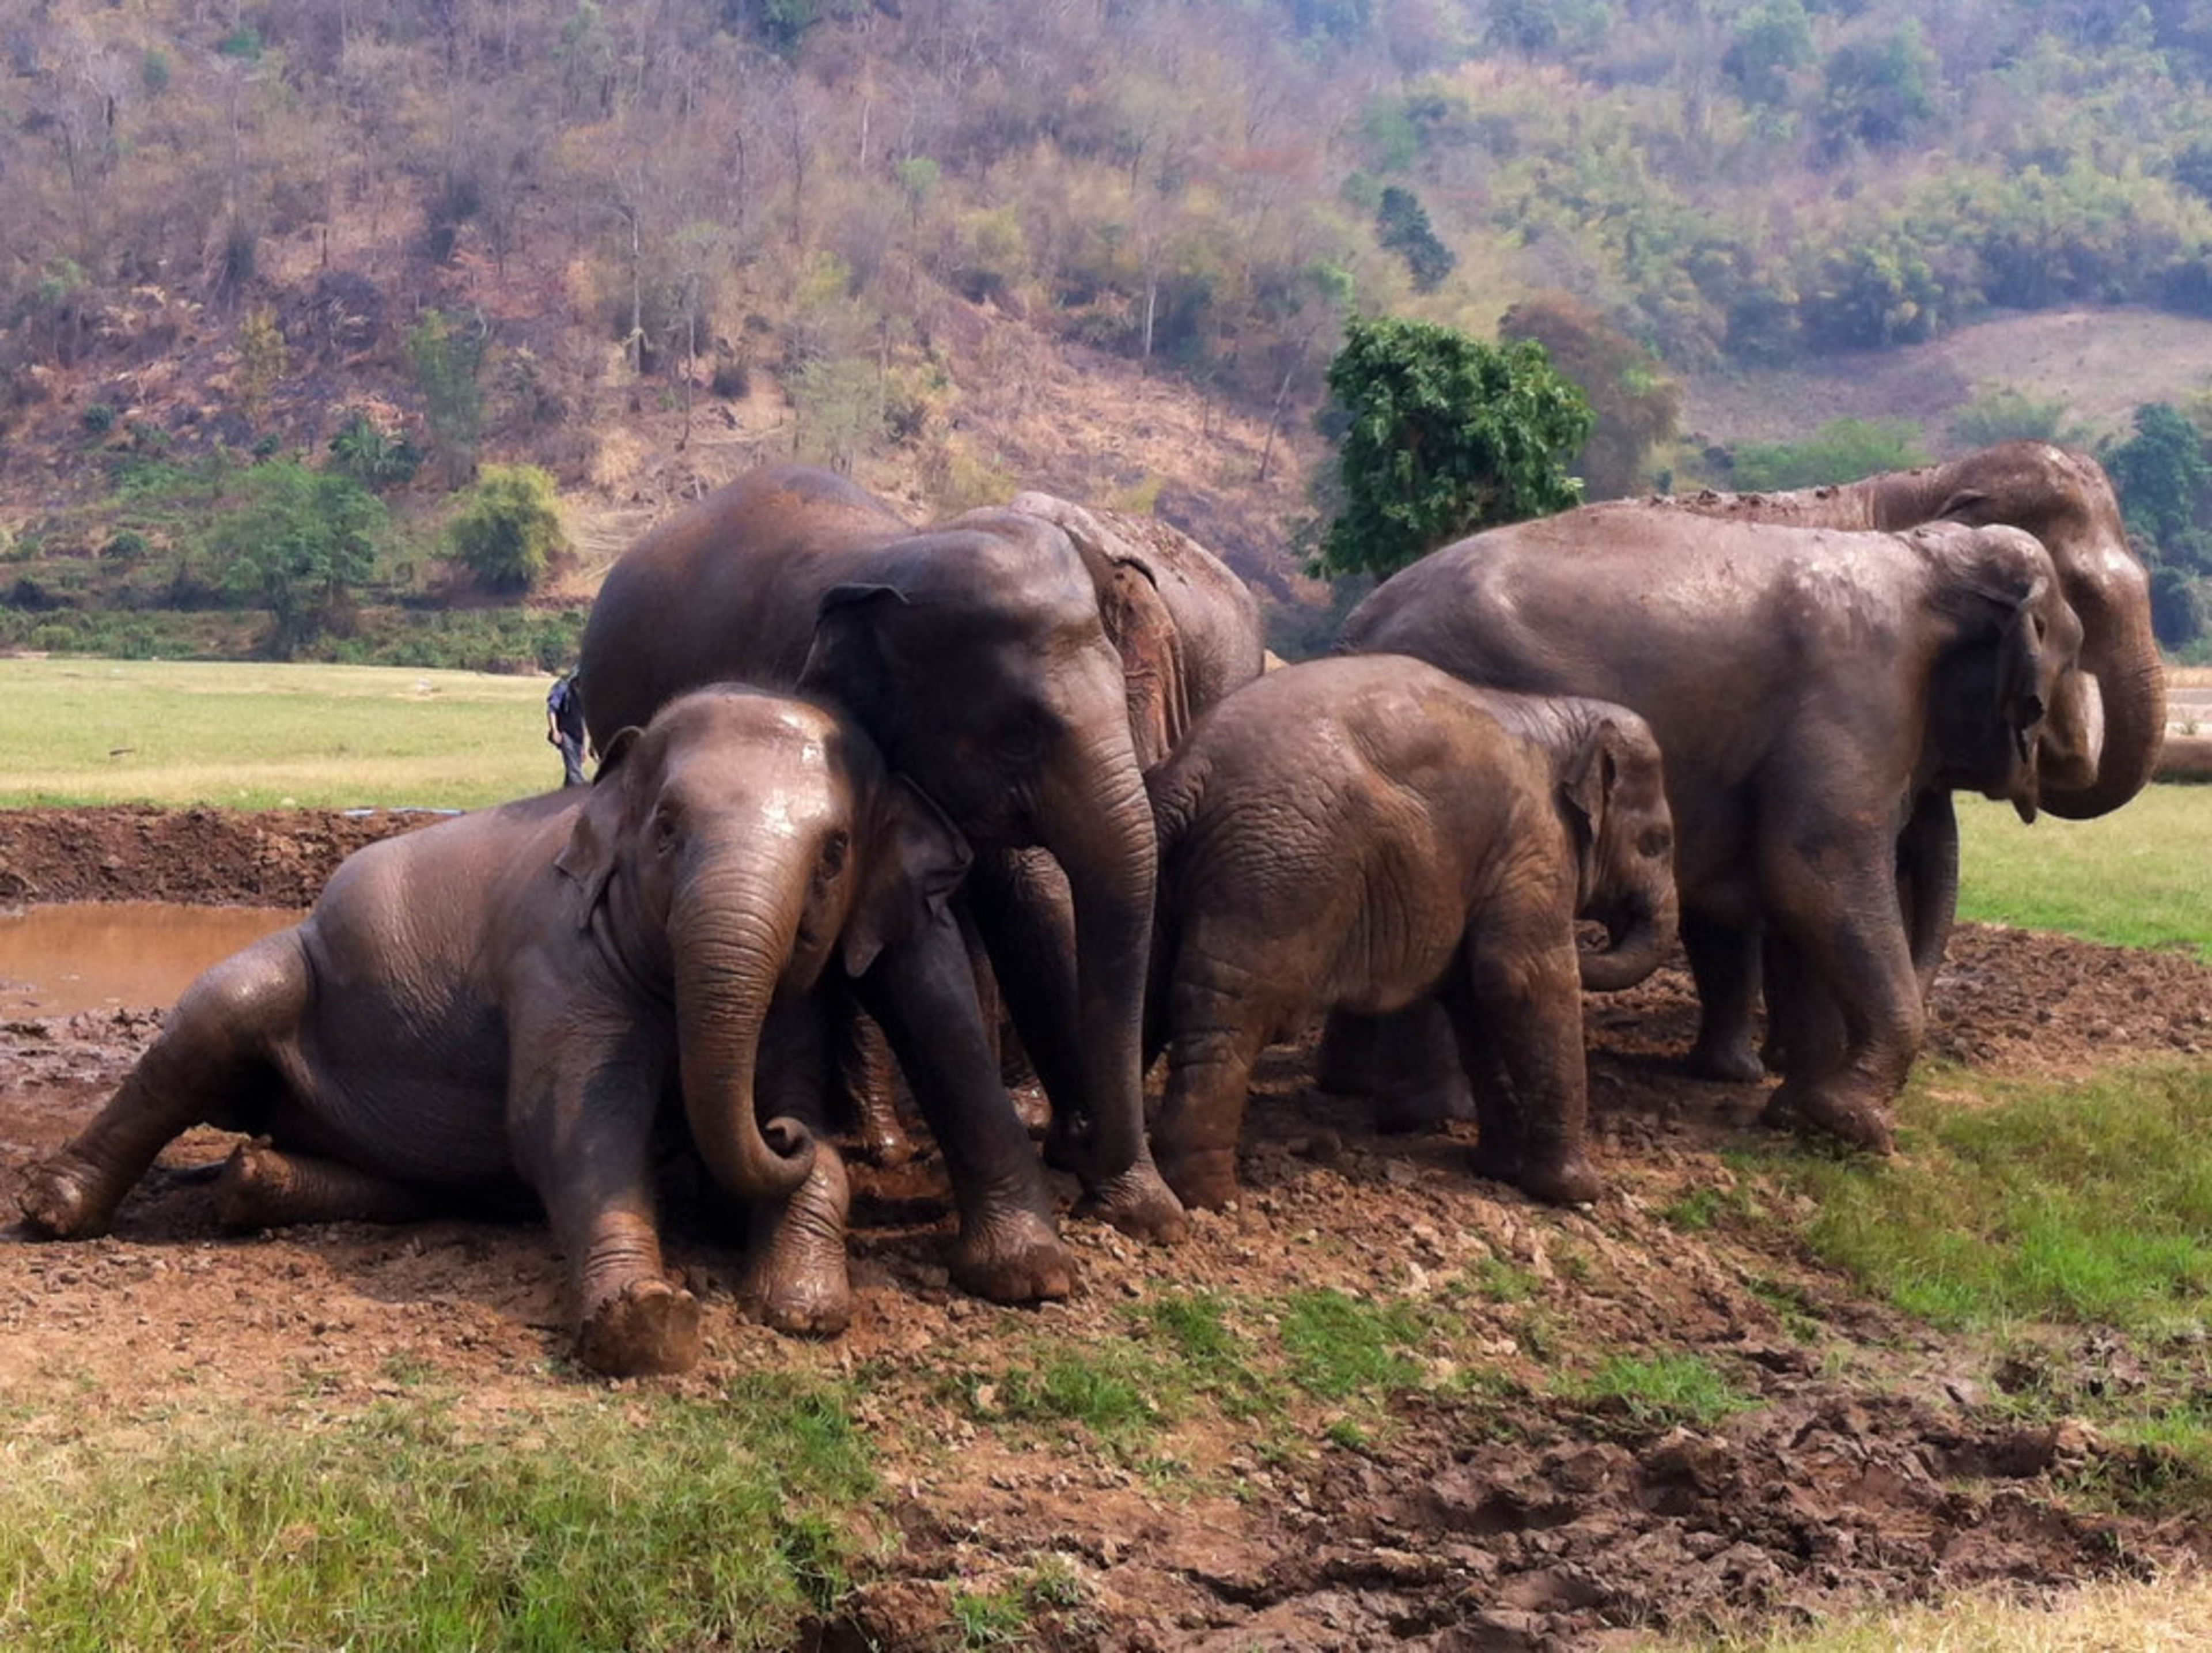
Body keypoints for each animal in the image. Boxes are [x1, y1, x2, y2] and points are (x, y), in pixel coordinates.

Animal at [17, 688, 1070, 1377]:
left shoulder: (797, 999)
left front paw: (801, 1305)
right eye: (667, 829)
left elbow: (778, 1101)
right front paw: (648, 1324)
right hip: (291, 965)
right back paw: (54, 1212)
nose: (782, 1140)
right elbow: (569, 1125)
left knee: (405, 1180)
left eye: (835, 852)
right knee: (218, 1014)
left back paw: (249, 1182)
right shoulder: (556, 961)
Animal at [574, 466, 1263, 1239]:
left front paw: (1138, 1204)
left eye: (1126, 695)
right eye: (1018, 734)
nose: (1079, 1141)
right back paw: (878, 1145)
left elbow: (1030, 904)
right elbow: (929, 939)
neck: (892, 556)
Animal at [1143, 657, 1678, 1211]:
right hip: (1276, 880)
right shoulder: (1533, 838)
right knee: (1235, 1015)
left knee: (1151, 997)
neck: (1556, 716)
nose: (1597, 936)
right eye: (1657, 842)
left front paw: (1499, 1168)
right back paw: (1210, 1195)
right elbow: (1520, 979)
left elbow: (1473, 994)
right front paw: (1576, 1191)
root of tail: (1189, 773)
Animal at [1340, 517, 2101, 1152]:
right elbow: (1812, 869)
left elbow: (1801, 902)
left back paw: (1392, 1100)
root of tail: (1360, 623)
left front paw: (1794, 1111)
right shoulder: (1859, 698)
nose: (2069, 751)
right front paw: (1850, 1126)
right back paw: (1436, 1113)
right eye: (2073, 660)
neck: (1928, 558)